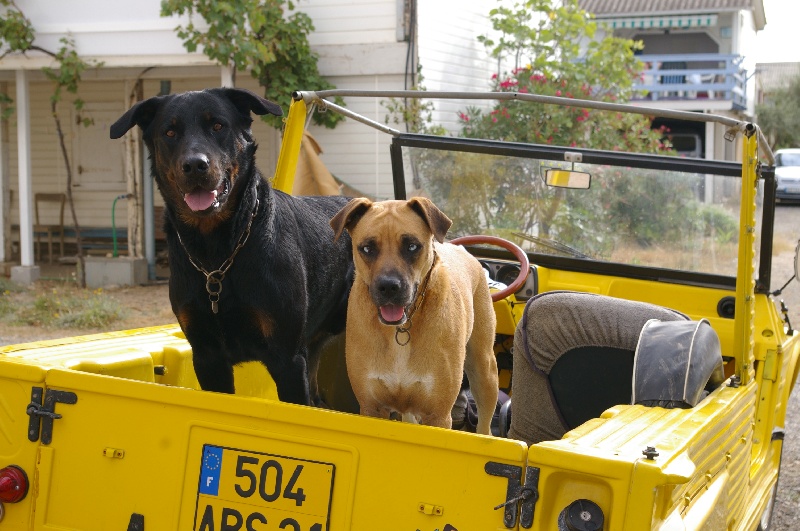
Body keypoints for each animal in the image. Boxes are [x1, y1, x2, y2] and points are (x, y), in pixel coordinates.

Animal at [108, 89, 350, 406]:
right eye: (170, 132)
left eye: (218, 126)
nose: (195, 165)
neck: (217, 252)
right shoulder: (207, 356)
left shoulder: (287, 358)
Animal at [328, 197, 496, 434]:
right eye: (367, 248)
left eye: (412, 246)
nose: (389, 287)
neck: (399, 330)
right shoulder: (372, 407)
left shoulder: (438, 415)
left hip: (484, 368)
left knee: (485, 425)